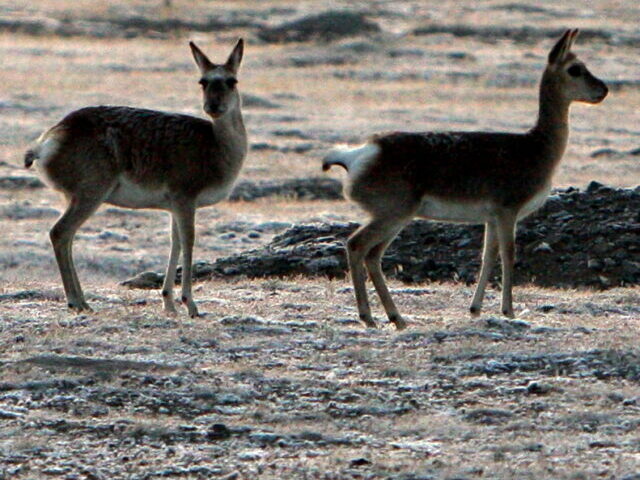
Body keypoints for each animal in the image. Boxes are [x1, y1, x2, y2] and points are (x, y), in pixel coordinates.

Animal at [23, 39, 248, 316]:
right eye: (203, 81)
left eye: (231, 80)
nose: (213, 107)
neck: (216, 146)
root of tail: (49, 139)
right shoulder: (185, 199)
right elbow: (189, 242)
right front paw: (191, 305)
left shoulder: (175, 206)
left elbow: (175, 242)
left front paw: (168, 303)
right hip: (90, 194)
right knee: (60, 232)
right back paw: (77, 301)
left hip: (79, 197)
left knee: (67, 237)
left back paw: (83, 301)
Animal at [322, 30, 608, 330]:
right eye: (575, 68)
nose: (603, 89)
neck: (535, 145)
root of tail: (362, 152)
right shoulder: (507, 212)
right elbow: (509, 254)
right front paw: (509, 310)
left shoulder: (491, 218)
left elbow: (487, 256)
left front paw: (475, 308)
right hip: (393, 216)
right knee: (357, 245)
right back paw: (370, 317)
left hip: (394, 219)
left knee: (372, 255)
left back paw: (395, 318)